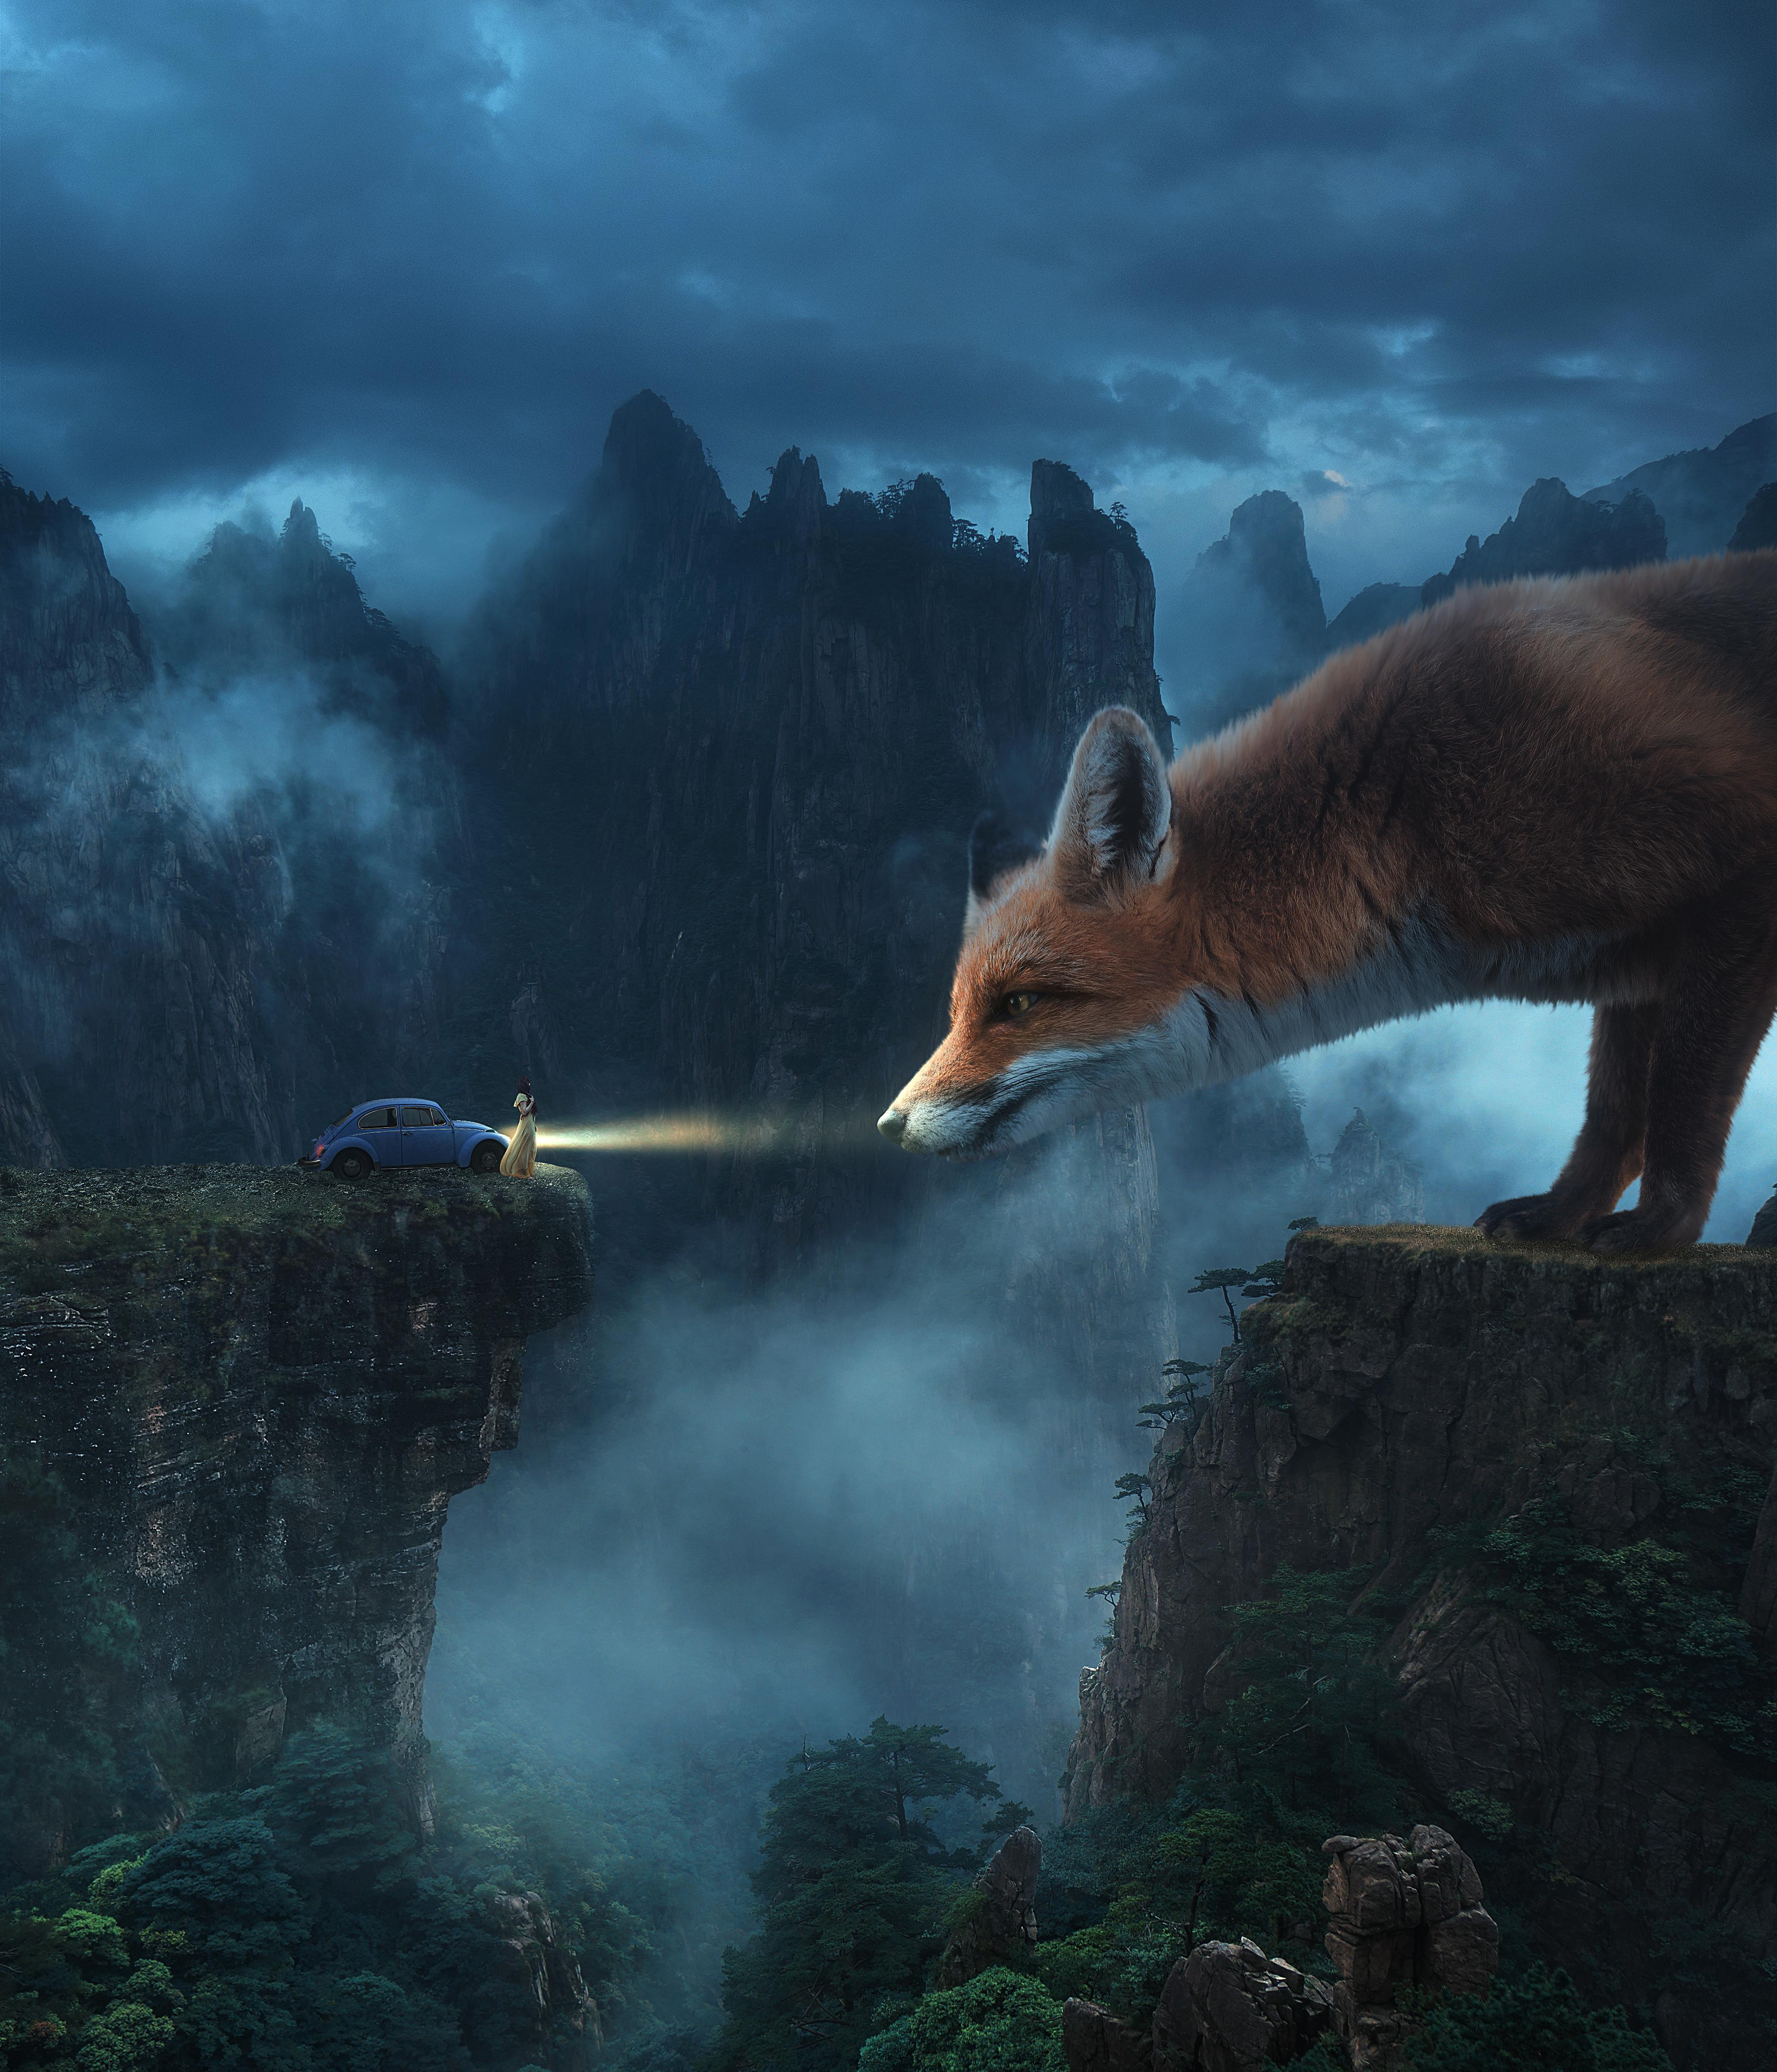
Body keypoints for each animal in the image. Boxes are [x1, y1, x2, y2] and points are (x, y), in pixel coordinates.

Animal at [878, 552, 1777, 1253]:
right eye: (959, 1012)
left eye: (1019, 1004)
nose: (889, 1127)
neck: (1409, 815)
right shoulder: (1633, 962)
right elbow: (1614, 1115)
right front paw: (1562, 1215)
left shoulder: (1733, 868)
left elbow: (1681, 1100)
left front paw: (1663, 1230)